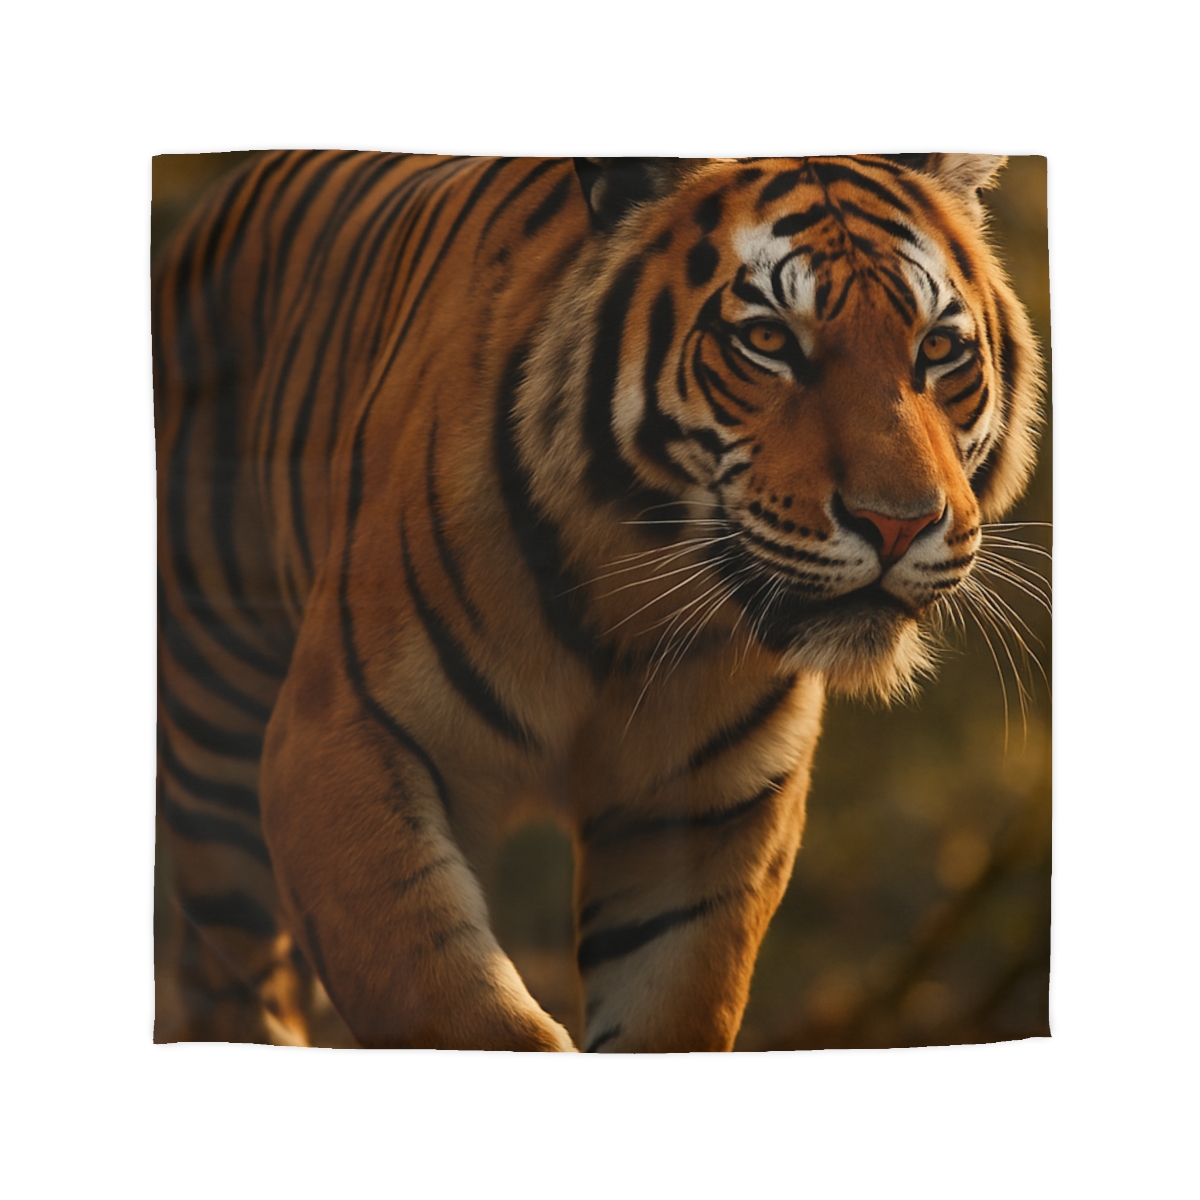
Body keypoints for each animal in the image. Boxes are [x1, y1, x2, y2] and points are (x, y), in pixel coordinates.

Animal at [153, 152, 1042, 1051]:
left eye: (938, 348)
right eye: (767, 341)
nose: (899, 524)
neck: (631, 612)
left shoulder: (712, 814)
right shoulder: (336, 740)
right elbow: (459, 1009)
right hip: (215, 756)